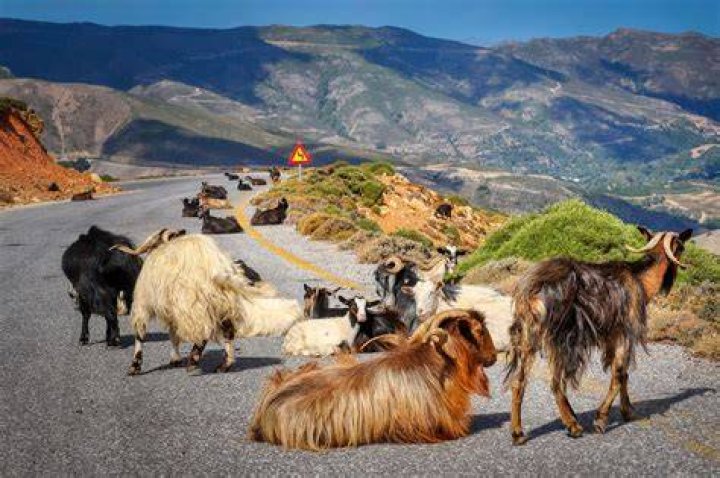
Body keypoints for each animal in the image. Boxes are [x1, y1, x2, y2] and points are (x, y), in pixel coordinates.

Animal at [117, 230, 299, 375]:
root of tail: (215, 265)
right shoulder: (171, 309)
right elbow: (173, 334)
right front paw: (175, 359)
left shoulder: (145, 304)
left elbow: (142, 335)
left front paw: (135, 366)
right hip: (222, 302)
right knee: (228, 332)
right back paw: (224, 365)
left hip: (193, 303)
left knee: (203, 331)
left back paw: (193, 361)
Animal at [505, 227, 693, 445]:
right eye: (681, 246)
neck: (641, 279)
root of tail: (530, 287)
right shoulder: (625, 332)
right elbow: (619, 374)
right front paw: (601, 419)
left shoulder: (611, 337)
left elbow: (623, 374)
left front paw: (628, 412)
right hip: (560, 336)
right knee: (555, 381)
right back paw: (573, 425)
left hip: (529, 334)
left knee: (519, 380)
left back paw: (518, 433)